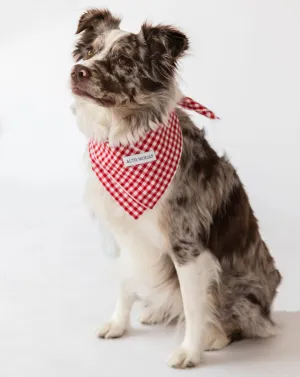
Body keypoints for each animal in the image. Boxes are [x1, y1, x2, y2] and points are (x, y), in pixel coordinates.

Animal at [70, 8, 282, 368]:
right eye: (90, 51)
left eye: (124, 60)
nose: (77, 71)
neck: (127, 140)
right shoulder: (123, 234)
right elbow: (125, 281)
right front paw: (118, 324)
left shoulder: (187, 245)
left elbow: (194, 307)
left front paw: (189, 351)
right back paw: (156, 311)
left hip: (240, 285)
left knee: (240, 319)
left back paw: (216, 336)